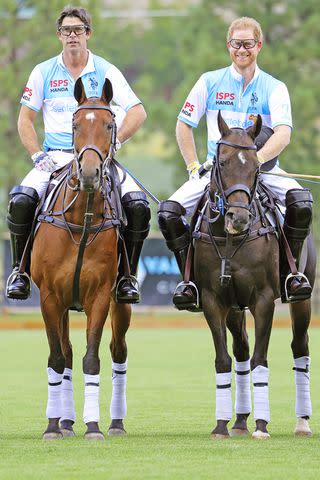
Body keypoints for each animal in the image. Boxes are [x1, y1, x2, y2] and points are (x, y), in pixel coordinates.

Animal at [30, 77, 130, 440]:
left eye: (110, 125)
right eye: (75, 125)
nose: (89, 174)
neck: (81, 218)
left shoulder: (99, 296)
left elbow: (92, 359)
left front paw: (94, 426)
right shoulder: (49, 297)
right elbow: (57, 359)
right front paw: (52, 426)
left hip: (120, 302)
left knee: (118, 352)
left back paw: (115, 423)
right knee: (66, 354)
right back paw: (64, 421)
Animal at [192, 111, 316, 438]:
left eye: (257, 166)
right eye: (221, 162)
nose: (239, 218)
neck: (230, 238)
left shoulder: (263, 299)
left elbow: (261, 359)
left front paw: (262, 425)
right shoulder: (213, 299)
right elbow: (224, 360)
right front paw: (221, 426)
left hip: (303, 297)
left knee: (300, 347)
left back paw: (302, 422)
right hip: (235, 307)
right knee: (241, 349)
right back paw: (239, 421)